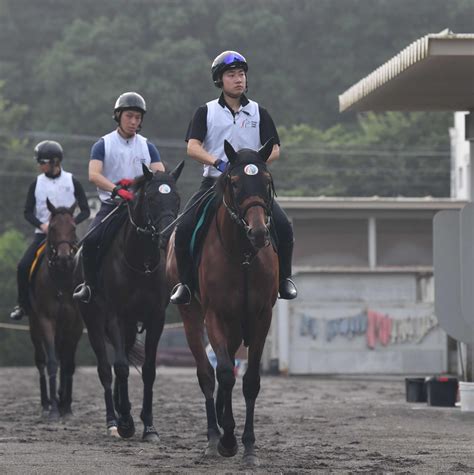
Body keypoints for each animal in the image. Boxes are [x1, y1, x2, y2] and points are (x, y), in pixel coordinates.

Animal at [74, 164, 183, 442]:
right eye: (152, 198)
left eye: (176, 198)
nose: (167, 236)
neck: (140, 262)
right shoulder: (115, 315)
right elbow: (121, 367)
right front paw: (125, 421)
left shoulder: (156, 318)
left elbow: (149, 370)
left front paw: (149, 427)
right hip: (95, 322)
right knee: (105, 369)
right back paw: (114, 420)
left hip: (131, 327)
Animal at [167, 139, 278, 466]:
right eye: (235, 181)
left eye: (267, 181)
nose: (258, 232)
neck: (242, 255)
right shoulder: (214, 316)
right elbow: (226, 374)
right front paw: (228, 440)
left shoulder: (261, 317)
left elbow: (250, 380)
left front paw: (250, 447)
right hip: (193, 316)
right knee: (207, 374)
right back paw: (213, 437)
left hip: (236, 326)